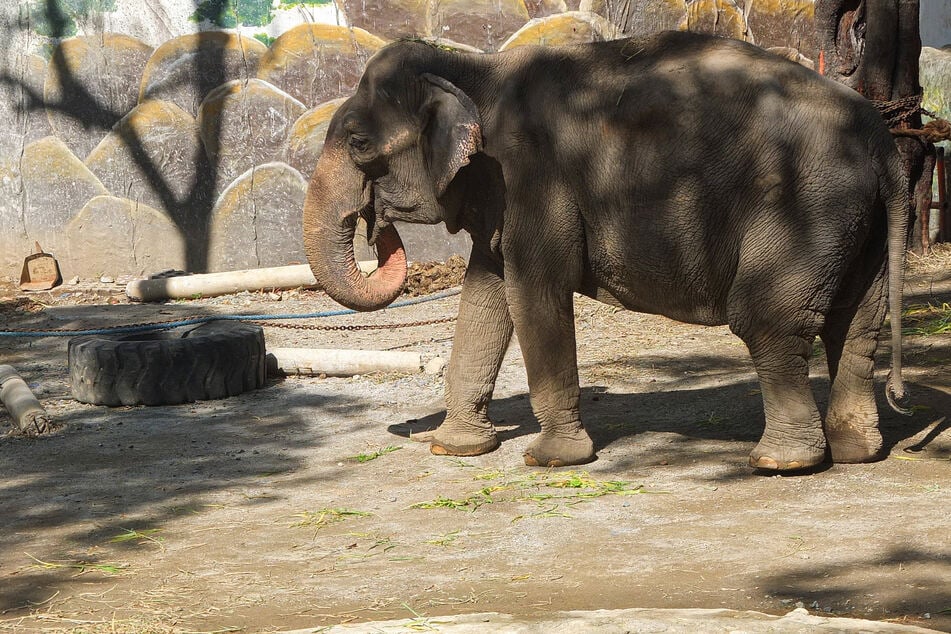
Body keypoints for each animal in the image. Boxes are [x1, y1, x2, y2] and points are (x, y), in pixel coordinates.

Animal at [304, 32, 908, 472]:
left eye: (359, 142)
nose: (375, 224)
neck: (477, 68)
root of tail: (881, 139)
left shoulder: (533, 180)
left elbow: (534, 292)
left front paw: (550, 460)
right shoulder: (501, 194)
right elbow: (486, 295)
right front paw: (453, 448)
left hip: (806, 206)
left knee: (768, 321)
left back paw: (781, 463)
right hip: (858, 221)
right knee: (856, 324)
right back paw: (858, 451)